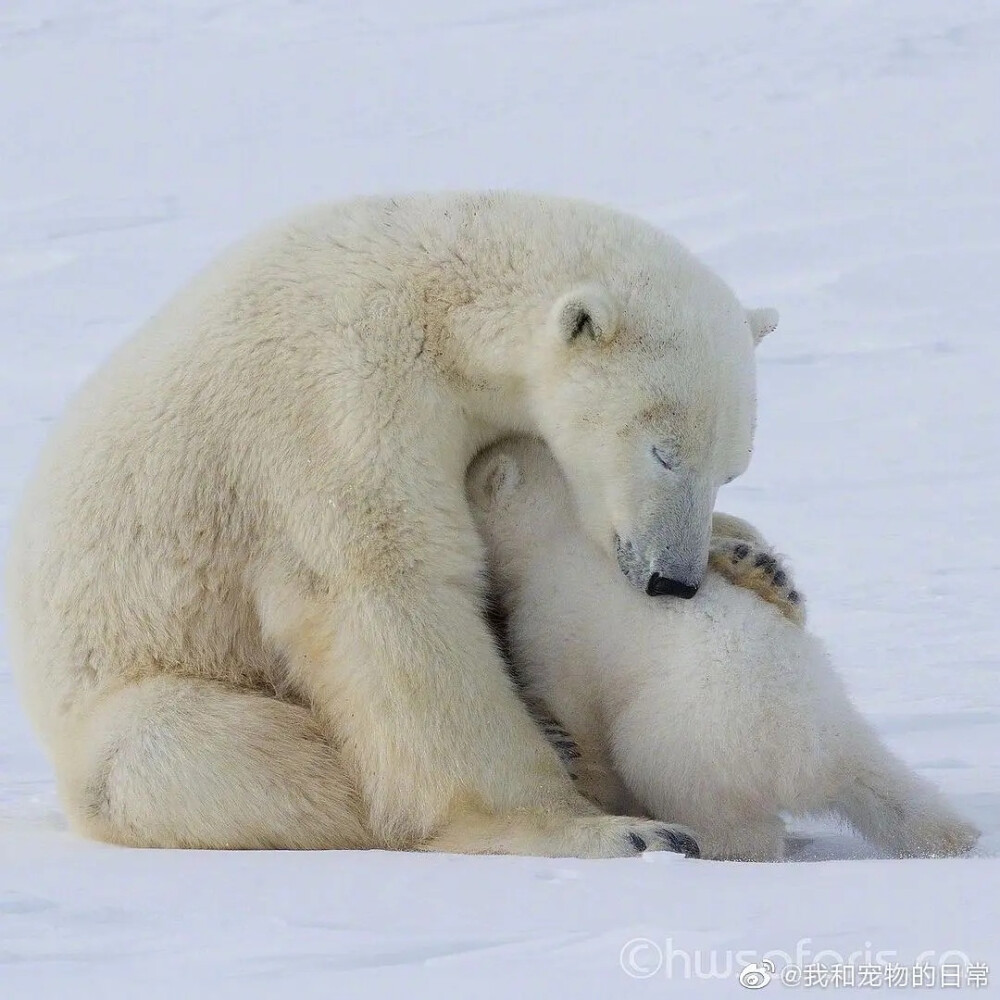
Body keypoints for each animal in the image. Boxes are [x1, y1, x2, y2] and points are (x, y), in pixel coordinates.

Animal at [3, 191, 776, 856]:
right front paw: (611, 830)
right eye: (663, 453)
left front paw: (748, 553)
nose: (673, 580)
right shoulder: (339, 399)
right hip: (135, 704)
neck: (440, 297)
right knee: (234, 756)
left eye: (731, 467)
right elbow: (392, 594)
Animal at [468, 436, 984, 860]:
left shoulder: (555, 623)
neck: (562, 536)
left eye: (472, 473)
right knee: (894, 790)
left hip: (685, 742)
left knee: (717, 810)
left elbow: (575, 706)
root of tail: (811, 758)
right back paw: (954, 836)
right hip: (841, 723)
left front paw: (569, 749)